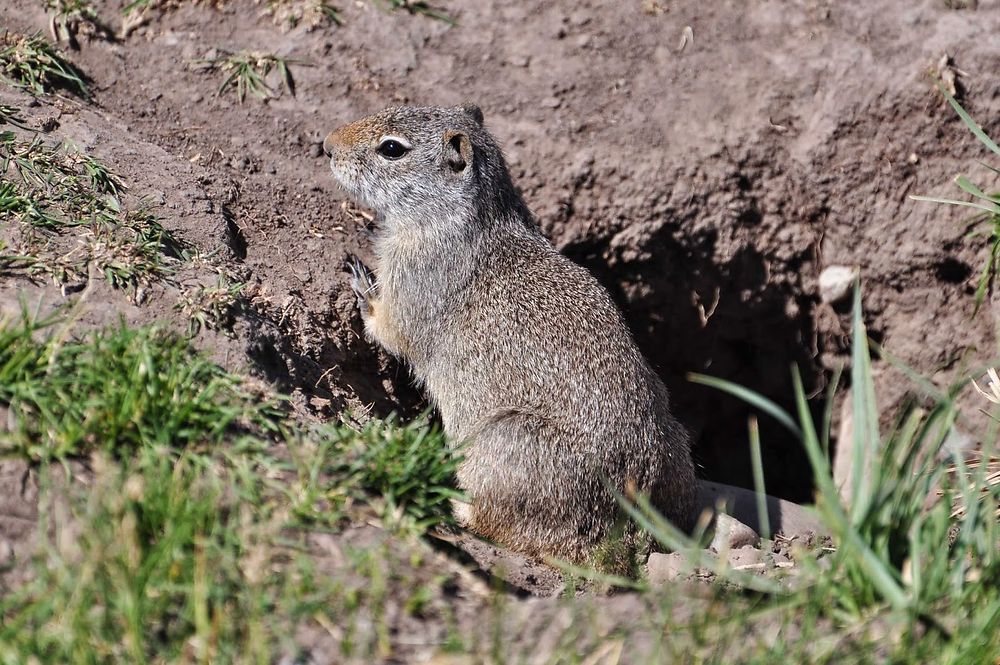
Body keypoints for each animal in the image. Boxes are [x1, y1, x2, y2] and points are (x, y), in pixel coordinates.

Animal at [326, 106, 696, 564]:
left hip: (502, 440)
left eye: (392, 148)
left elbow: (389, 327)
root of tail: (621, 541)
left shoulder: (413, 284)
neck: (459, 219)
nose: (326, 145)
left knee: (491, 522)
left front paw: (360, 283)